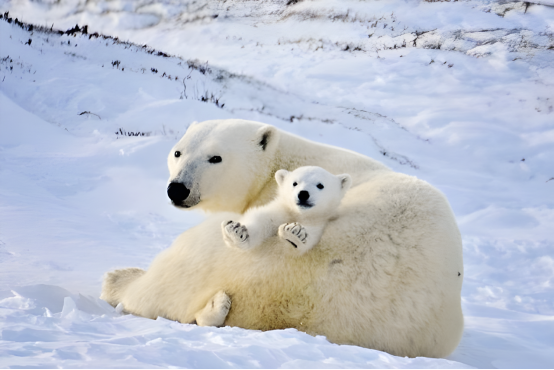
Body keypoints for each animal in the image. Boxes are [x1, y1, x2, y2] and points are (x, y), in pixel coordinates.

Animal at [101, 118, 464, 358]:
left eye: (216, 157)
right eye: (178, 152)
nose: (178, 189)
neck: (284, 162)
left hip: (217, 258)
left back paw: (120, 279)